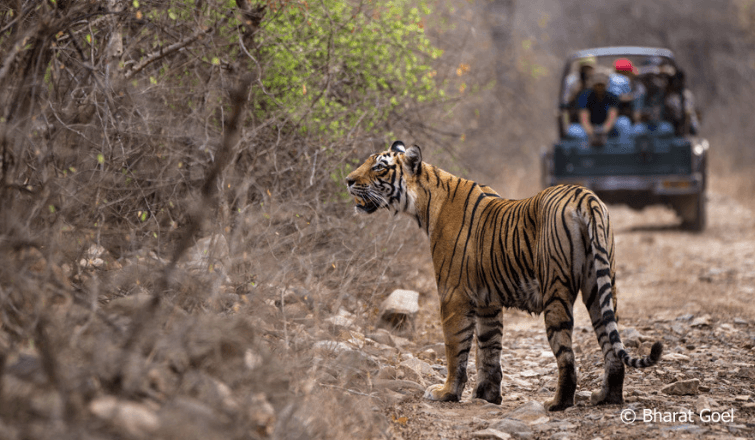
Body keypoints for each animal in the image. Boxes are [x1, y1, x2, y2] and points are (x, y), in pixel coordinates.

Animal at [346, 142, 664, 412]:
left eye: (379, 167)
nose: (348, 180)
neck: (423, 203)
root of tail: (585, 196)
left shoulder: (452, 295)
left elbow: (456, 348)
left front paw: (447, 393)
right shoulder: (487, 302)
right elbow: (489, 349)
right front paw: (487, 395)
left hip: (556, 291)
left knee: (567, 355)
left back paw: (558, 403)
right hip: (599, 287)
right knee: (611, 347)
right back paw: (606, 398)